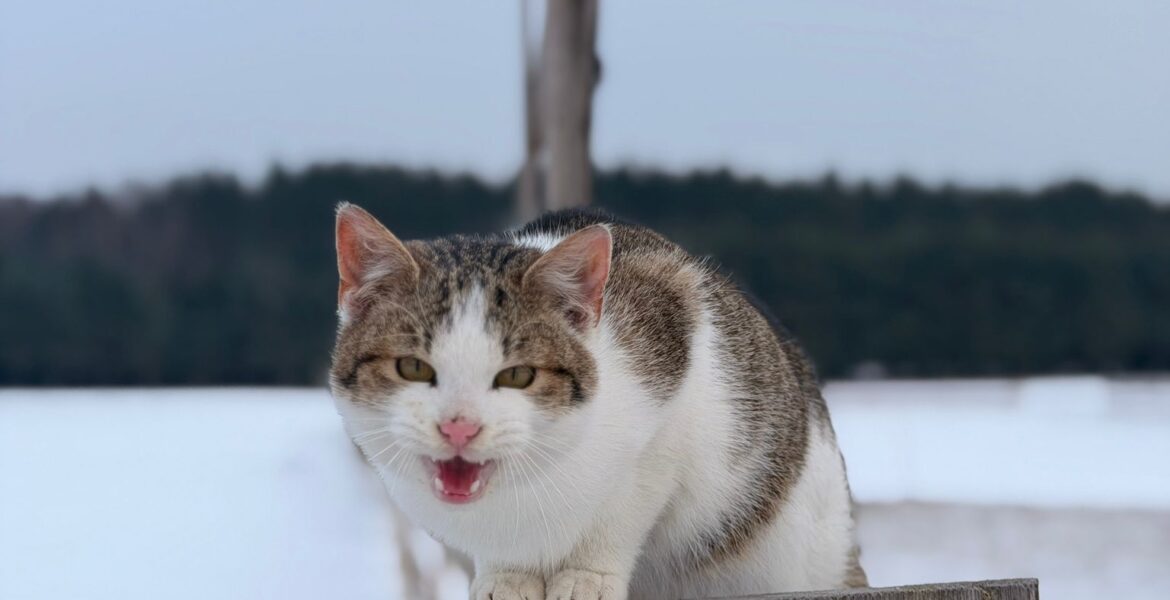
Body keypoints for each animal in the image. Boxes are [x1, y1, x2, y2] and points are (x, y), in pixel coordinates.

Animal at [329, 203, 866, 600]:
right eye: (413, 368)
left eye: (517, 375)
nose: (459, 426)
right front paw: (506, 578)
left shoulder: (675, 386)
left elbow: (623, 510)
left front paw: (587, 577)